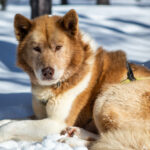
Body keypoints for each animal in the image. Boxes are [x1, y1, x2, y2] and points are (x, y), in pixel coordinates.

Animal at [0, 9, 150, 149]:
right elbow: (9, 121)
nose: (47, 72)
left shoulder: (57, 123)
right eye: (36, 48)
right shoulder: (39, 116)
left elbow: (12, 126)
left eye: (58, 47)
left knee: (112, 140)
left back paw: (71, 141)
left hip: (105, 99)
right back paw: (76, 132)